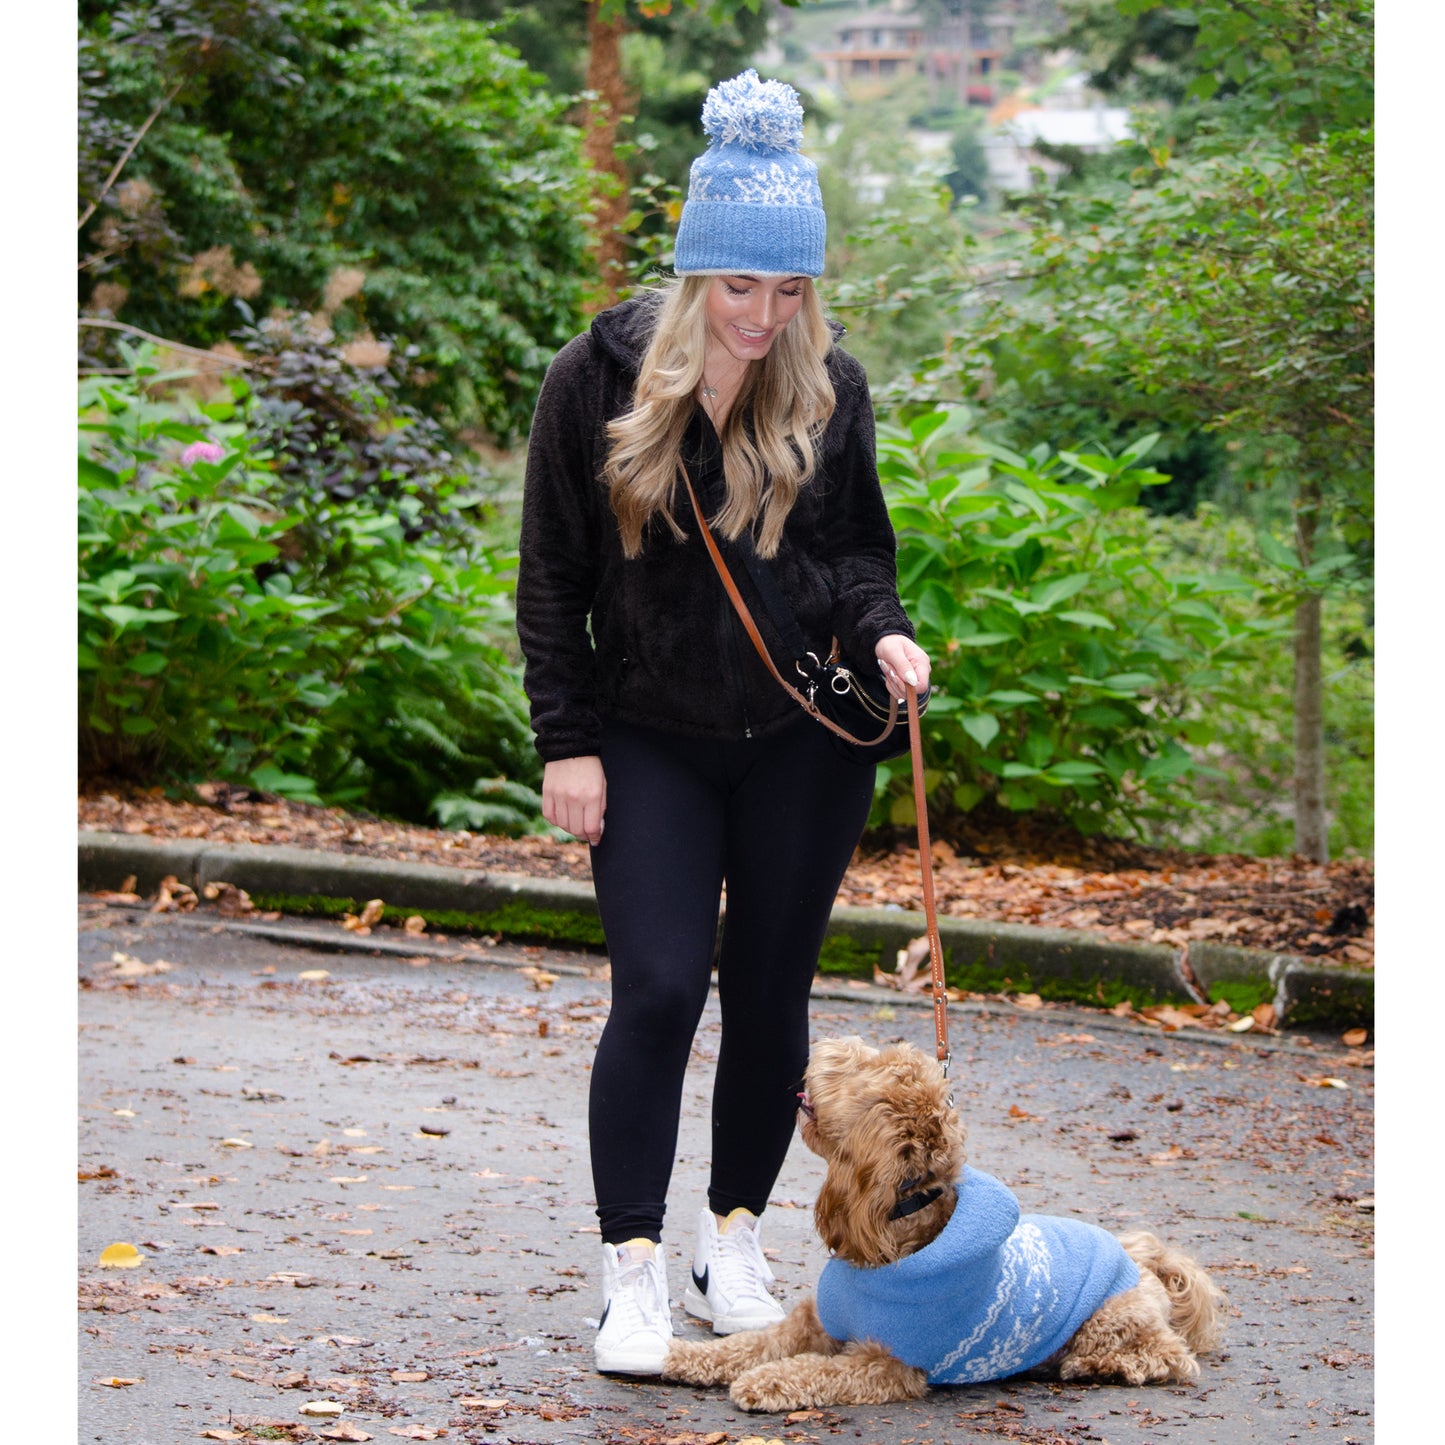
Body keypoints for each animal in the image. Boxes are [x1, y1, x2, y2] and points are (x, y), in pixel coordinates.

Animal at [661, 1040, 1225, 1410]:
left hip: (1111, 1318)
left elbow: (815, 1369)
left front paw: (767, 1383)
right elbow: (746, 1345)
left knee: (1173, 1357)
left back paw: (1099, 1366)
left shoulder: (888, 1363)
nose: (825, 1042)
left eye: (864, 1064)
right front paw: (685, 1355)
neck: (900, 1228)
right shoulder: (811, 1325)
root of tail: (1143, 1260)